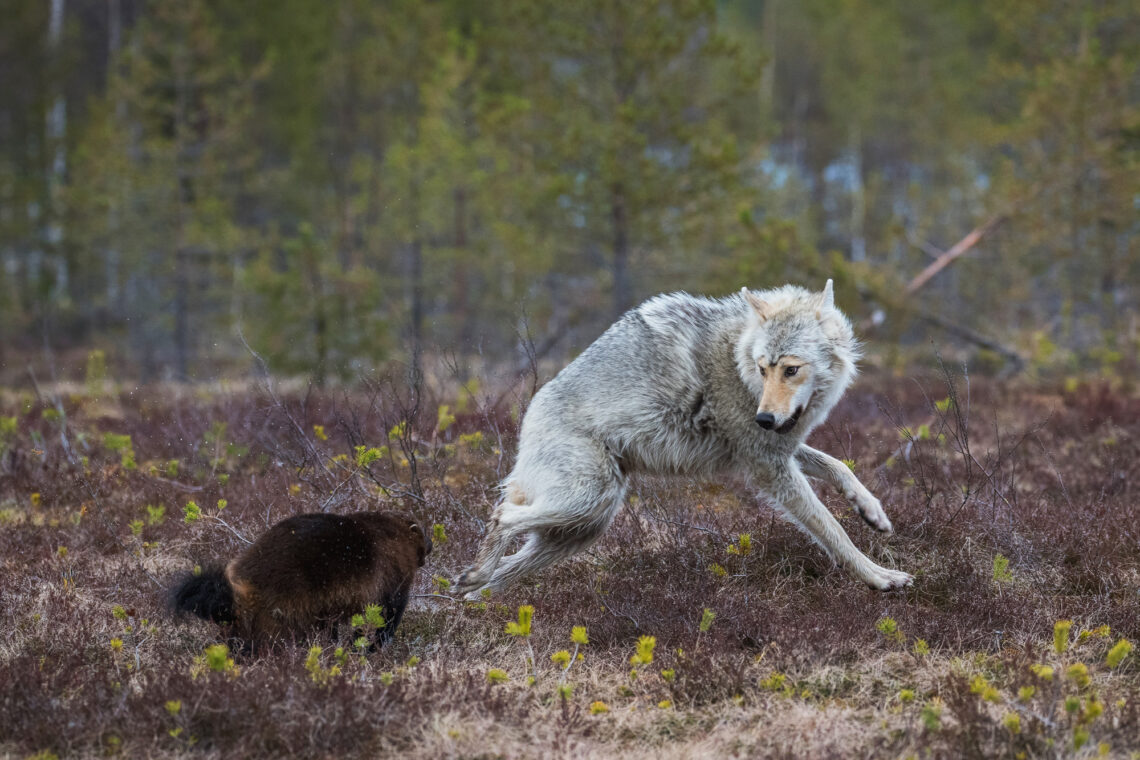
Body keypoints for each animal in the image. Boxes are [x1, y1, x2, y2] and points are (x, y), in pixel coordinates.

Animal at [172, 515, 430, 647]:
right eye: (425, 534)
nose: (431, 544)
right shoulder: (393, 575)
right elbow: (387, 614)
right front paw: (372, 646)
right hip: (285, 603)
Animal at [453, 279, 907, 592]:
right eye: (764, 369)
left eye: (790, 369)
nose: (762, 418)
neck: (738, 362)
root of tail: (527, 416)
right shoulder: (768, 466)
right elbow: (832, 529)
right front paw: (878, 576)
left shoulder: (782, 448)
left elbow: (840, 467)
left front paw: (873, 512)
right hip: (589, 501)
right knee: (502, 515)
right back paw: (477, 573)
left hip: (584, 525)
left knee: (499, 570)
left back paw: (471, 587)